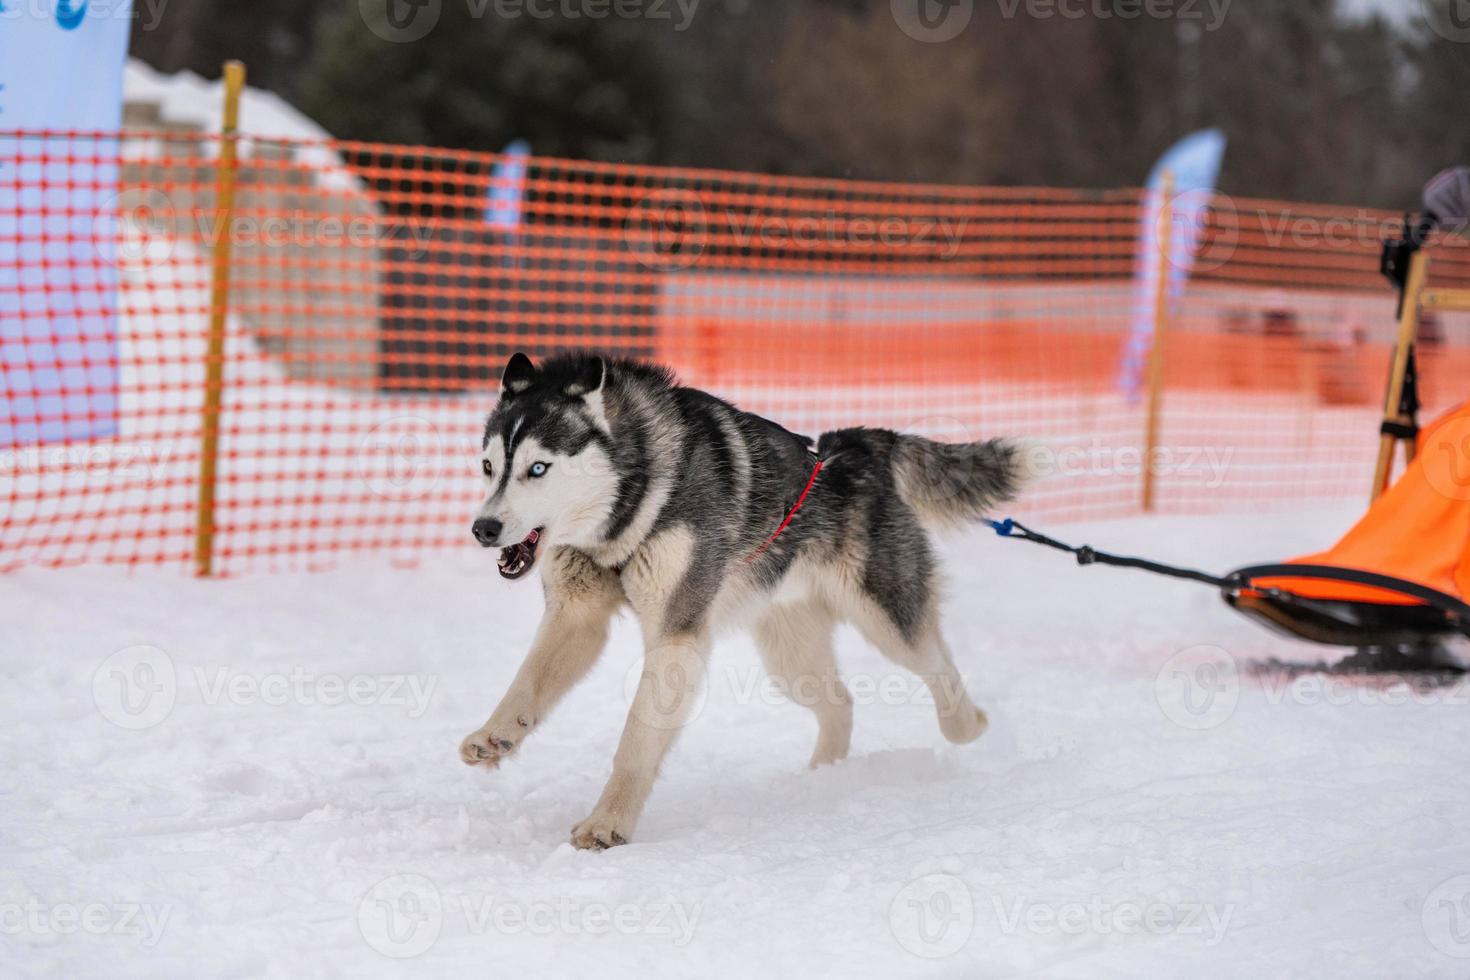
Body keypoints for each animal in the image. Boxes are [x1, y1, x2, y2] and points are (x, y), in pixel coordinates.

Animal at [455, 352, 1023, 852]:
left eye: (538, 469)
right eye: (487, 466)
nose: (483, 529)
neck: (632, 503)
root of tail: (855, 444)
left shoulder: (677, 636)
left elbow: (636, 741)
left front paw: (607, 824)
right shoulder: (577, 616)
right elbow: (527, 685)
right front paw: (496, 735)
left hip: (886, 618)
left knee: (938, 664)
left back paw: (968, 725)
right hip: (791, 660)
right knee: (839, 702)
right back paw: (825, 776)